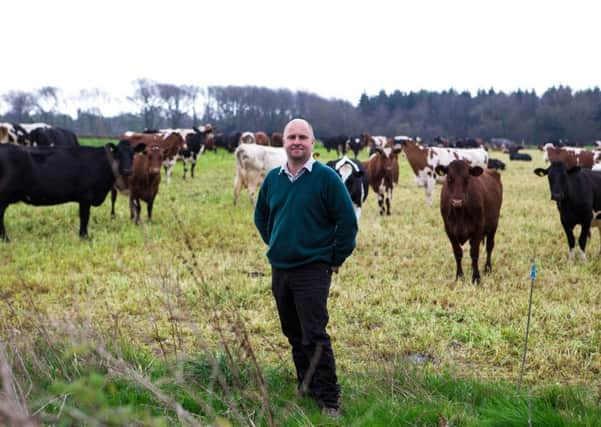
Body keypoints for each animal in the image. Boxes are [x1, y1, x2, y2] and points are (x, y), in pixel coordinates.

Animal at [0, 140, 145, 241]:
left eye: (133, 154)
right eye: (118, 154)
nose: (127, 170)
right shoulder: (86, 197)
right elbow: (84, 217)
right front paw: (84, 237)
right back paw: (6, 239)